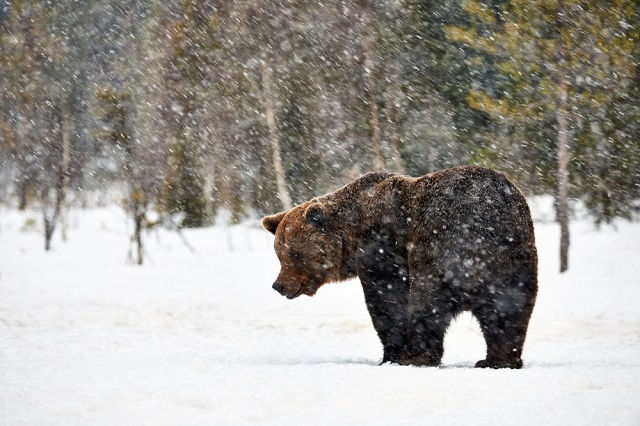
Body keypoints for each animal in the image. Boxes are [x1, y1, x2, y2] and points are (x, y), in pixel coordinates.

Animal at [262, 166, 538, 369]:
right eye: (279, 254)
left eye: (295, 254)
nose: (279, 285)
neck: (352, 232)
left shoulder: (381, 246)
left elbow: (387, 300)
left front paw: (393, 355)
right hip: (513, 259)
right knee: (508, 312)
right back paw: (497, 360)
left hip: (440, 247)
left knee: (427, 302)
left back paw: (419, 357)